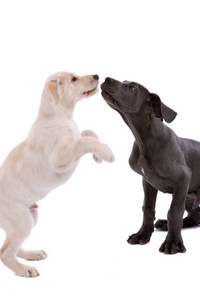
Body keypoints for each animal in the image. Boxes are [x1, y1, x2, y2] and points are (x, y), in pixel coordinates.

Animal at [0, 71, 114, 278]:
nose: (96, 75)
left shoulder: (75, 137)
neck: (61, 115)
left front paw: (98, 154)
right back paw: (24, 269)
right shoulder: (59, 159)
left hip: (32, 215)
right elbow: (83, 141)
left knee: (12, 247)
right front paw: (106, 152)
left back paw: (32, 254)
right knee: (5, 253)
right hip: (22, 221)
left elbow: (88, 132)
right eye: (73, 79)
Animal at [101, 76, 200, 254]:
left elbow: (174, 211)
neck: (145, 139)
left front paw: (173, 243)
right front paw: (142, 235)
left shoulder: (182, 178)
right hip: (190, 197)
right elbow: (147, 208)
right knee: (195, 217)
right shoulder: (148, 182)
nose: (107, 79)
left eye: (132, 87)